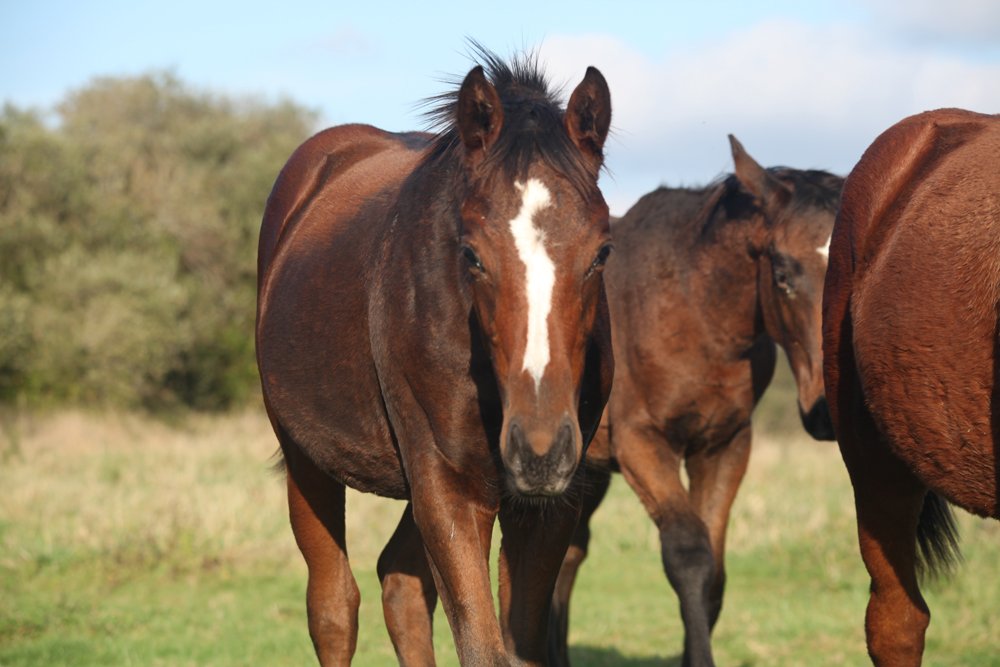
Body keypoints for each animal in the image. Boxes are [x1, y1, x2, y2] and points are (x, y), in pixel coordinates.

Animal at [255, 49, 614, 666]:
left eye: (602, 252)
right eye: (471, 255)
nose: (538, 450)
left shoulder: (549, 509)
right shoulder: (449, 491)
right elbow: (483, 648)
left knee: (398, 583)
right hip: (307, 459)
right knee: (332, 607)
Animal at [548, 137, 843, 667]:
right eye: (783, 273)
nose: (826, 411)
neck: (695, 312)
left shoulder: (725, 445)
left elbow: (716, 576)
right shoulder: (642, 443)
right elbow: (689, 555)